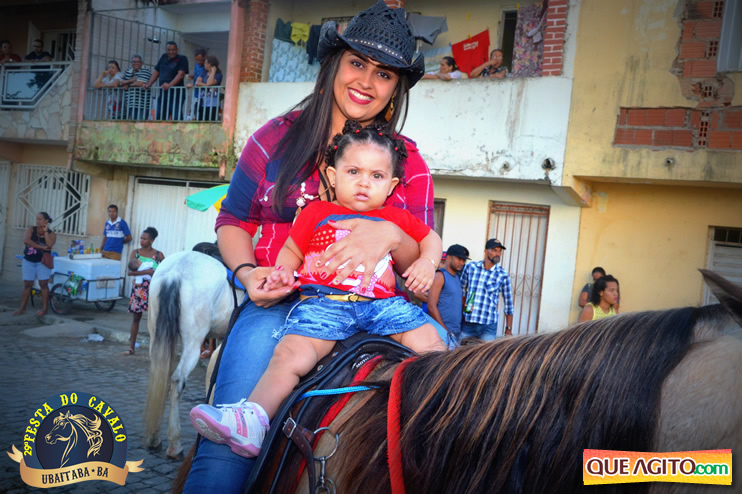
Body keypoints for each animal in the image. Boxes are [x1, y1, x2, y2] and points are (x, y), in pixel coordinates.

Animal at [143, 250, 245, 458]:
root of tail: (176, 272)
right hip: (193, 343)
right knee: (176, 380)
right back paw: (175, 444)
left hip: (159, 335)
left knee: (161, 375)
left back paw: (154, 438)